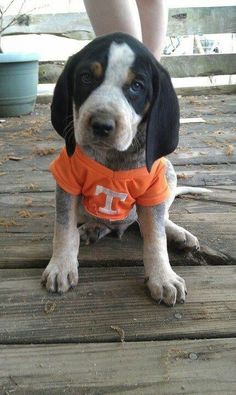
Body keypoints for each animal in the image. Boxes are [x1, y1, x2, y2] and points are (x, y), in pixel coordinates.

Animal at [42, 32, 208, 308]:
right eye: (86, 77)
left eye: (137, 86)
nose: (101, 125)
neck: (114, 157)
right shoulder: (67, 183)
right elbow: (64, 229)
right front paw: (61, 265)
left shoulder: (153, 190)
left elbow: (155, 237)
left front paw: (162, 276)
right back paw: (93, 228)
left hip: (168, 171)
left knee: (155, 220)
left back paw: (178, 234)